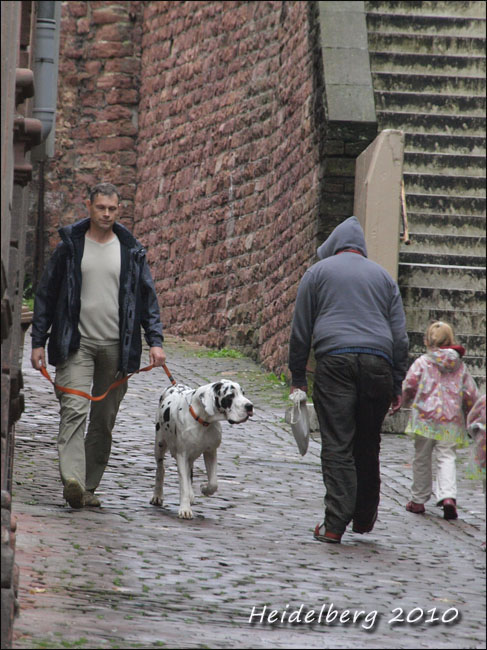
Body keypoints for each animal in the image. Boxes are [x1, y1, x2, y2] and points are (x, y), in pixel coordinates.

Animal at [150, 379, 253, 519]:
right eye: (230, 396)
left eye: (243, 393)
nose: (250, 406)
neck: (203, 421)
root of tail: (173, 385)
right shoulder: (182, 455)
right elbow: (183, 484)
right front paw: (185, 509)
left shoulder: (211, 452)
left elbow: (213, 483)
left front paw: (205, 488)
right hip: (160, 444)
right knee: (161, 469)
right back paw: (157, 495)